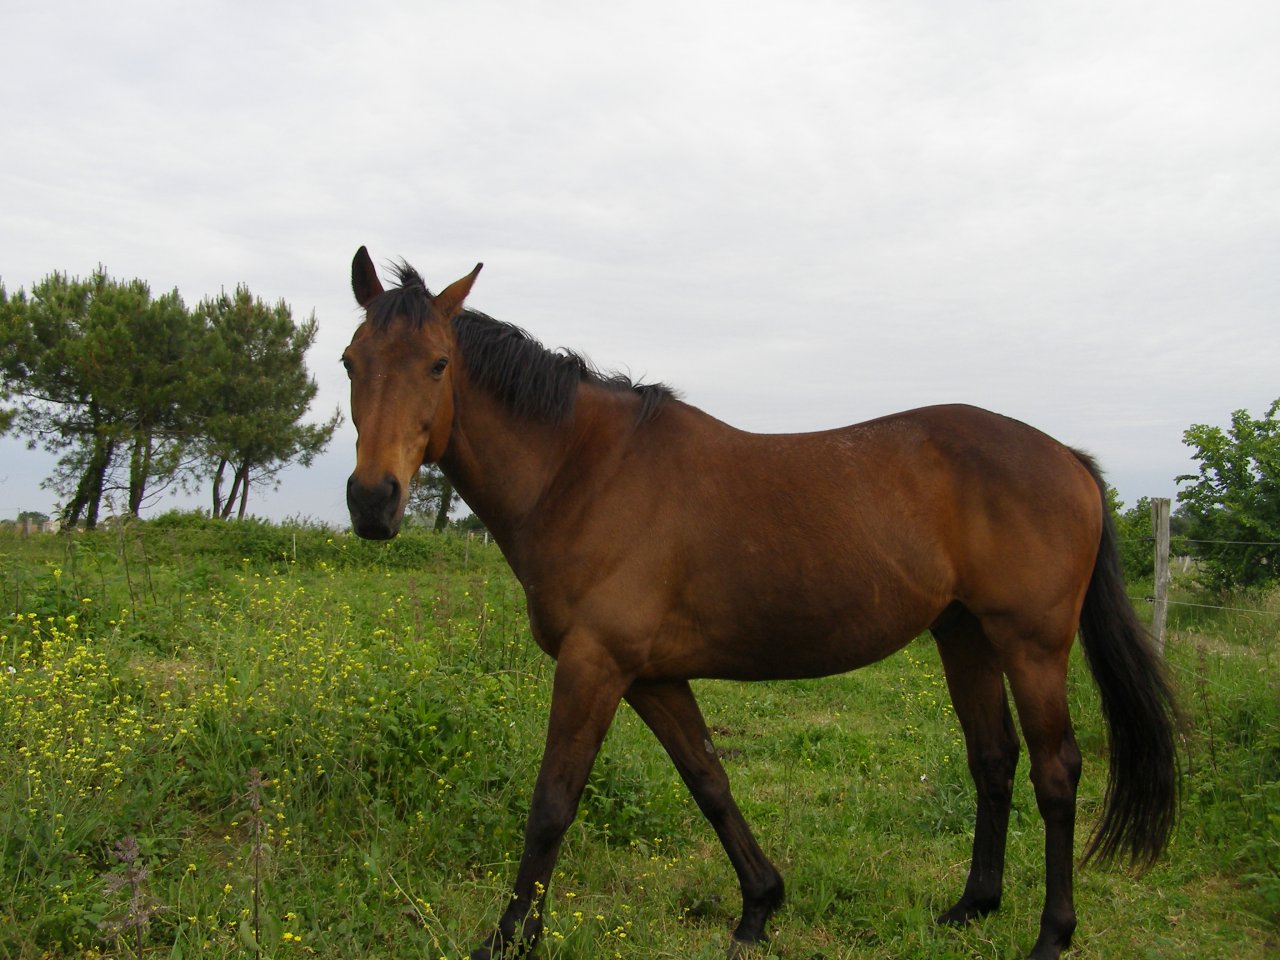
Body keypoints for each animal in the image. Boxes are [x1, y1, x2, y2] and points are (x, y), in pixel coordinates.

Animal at [340, 249, 1177, 960]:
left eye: (438, 363)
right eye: (350, 362)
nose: (372, 501)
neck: (586, 471)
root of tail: (1068, 457)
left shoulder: (593, 665)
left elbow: (552, 803)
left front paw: (509, 937)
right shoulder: (650, 676)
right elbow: (710, 782)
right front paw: (759, 907)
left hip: (1031, 645)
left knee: (1056, 772)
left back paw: (1051, 934)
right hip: (963, 635)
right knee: (993, 759)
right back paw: (972, 906)